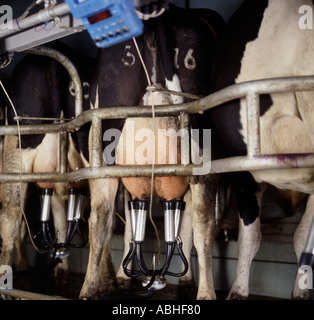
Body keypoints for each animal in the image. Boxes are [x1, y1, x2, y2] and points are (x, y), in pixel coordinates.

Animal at [78, 1, 226, 300]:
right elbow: (188, 225)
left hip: (103, 143)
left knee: (99, 217)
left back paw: (90, 289)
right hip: (203, 147)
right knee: (203, 221)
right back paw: (206, 293)